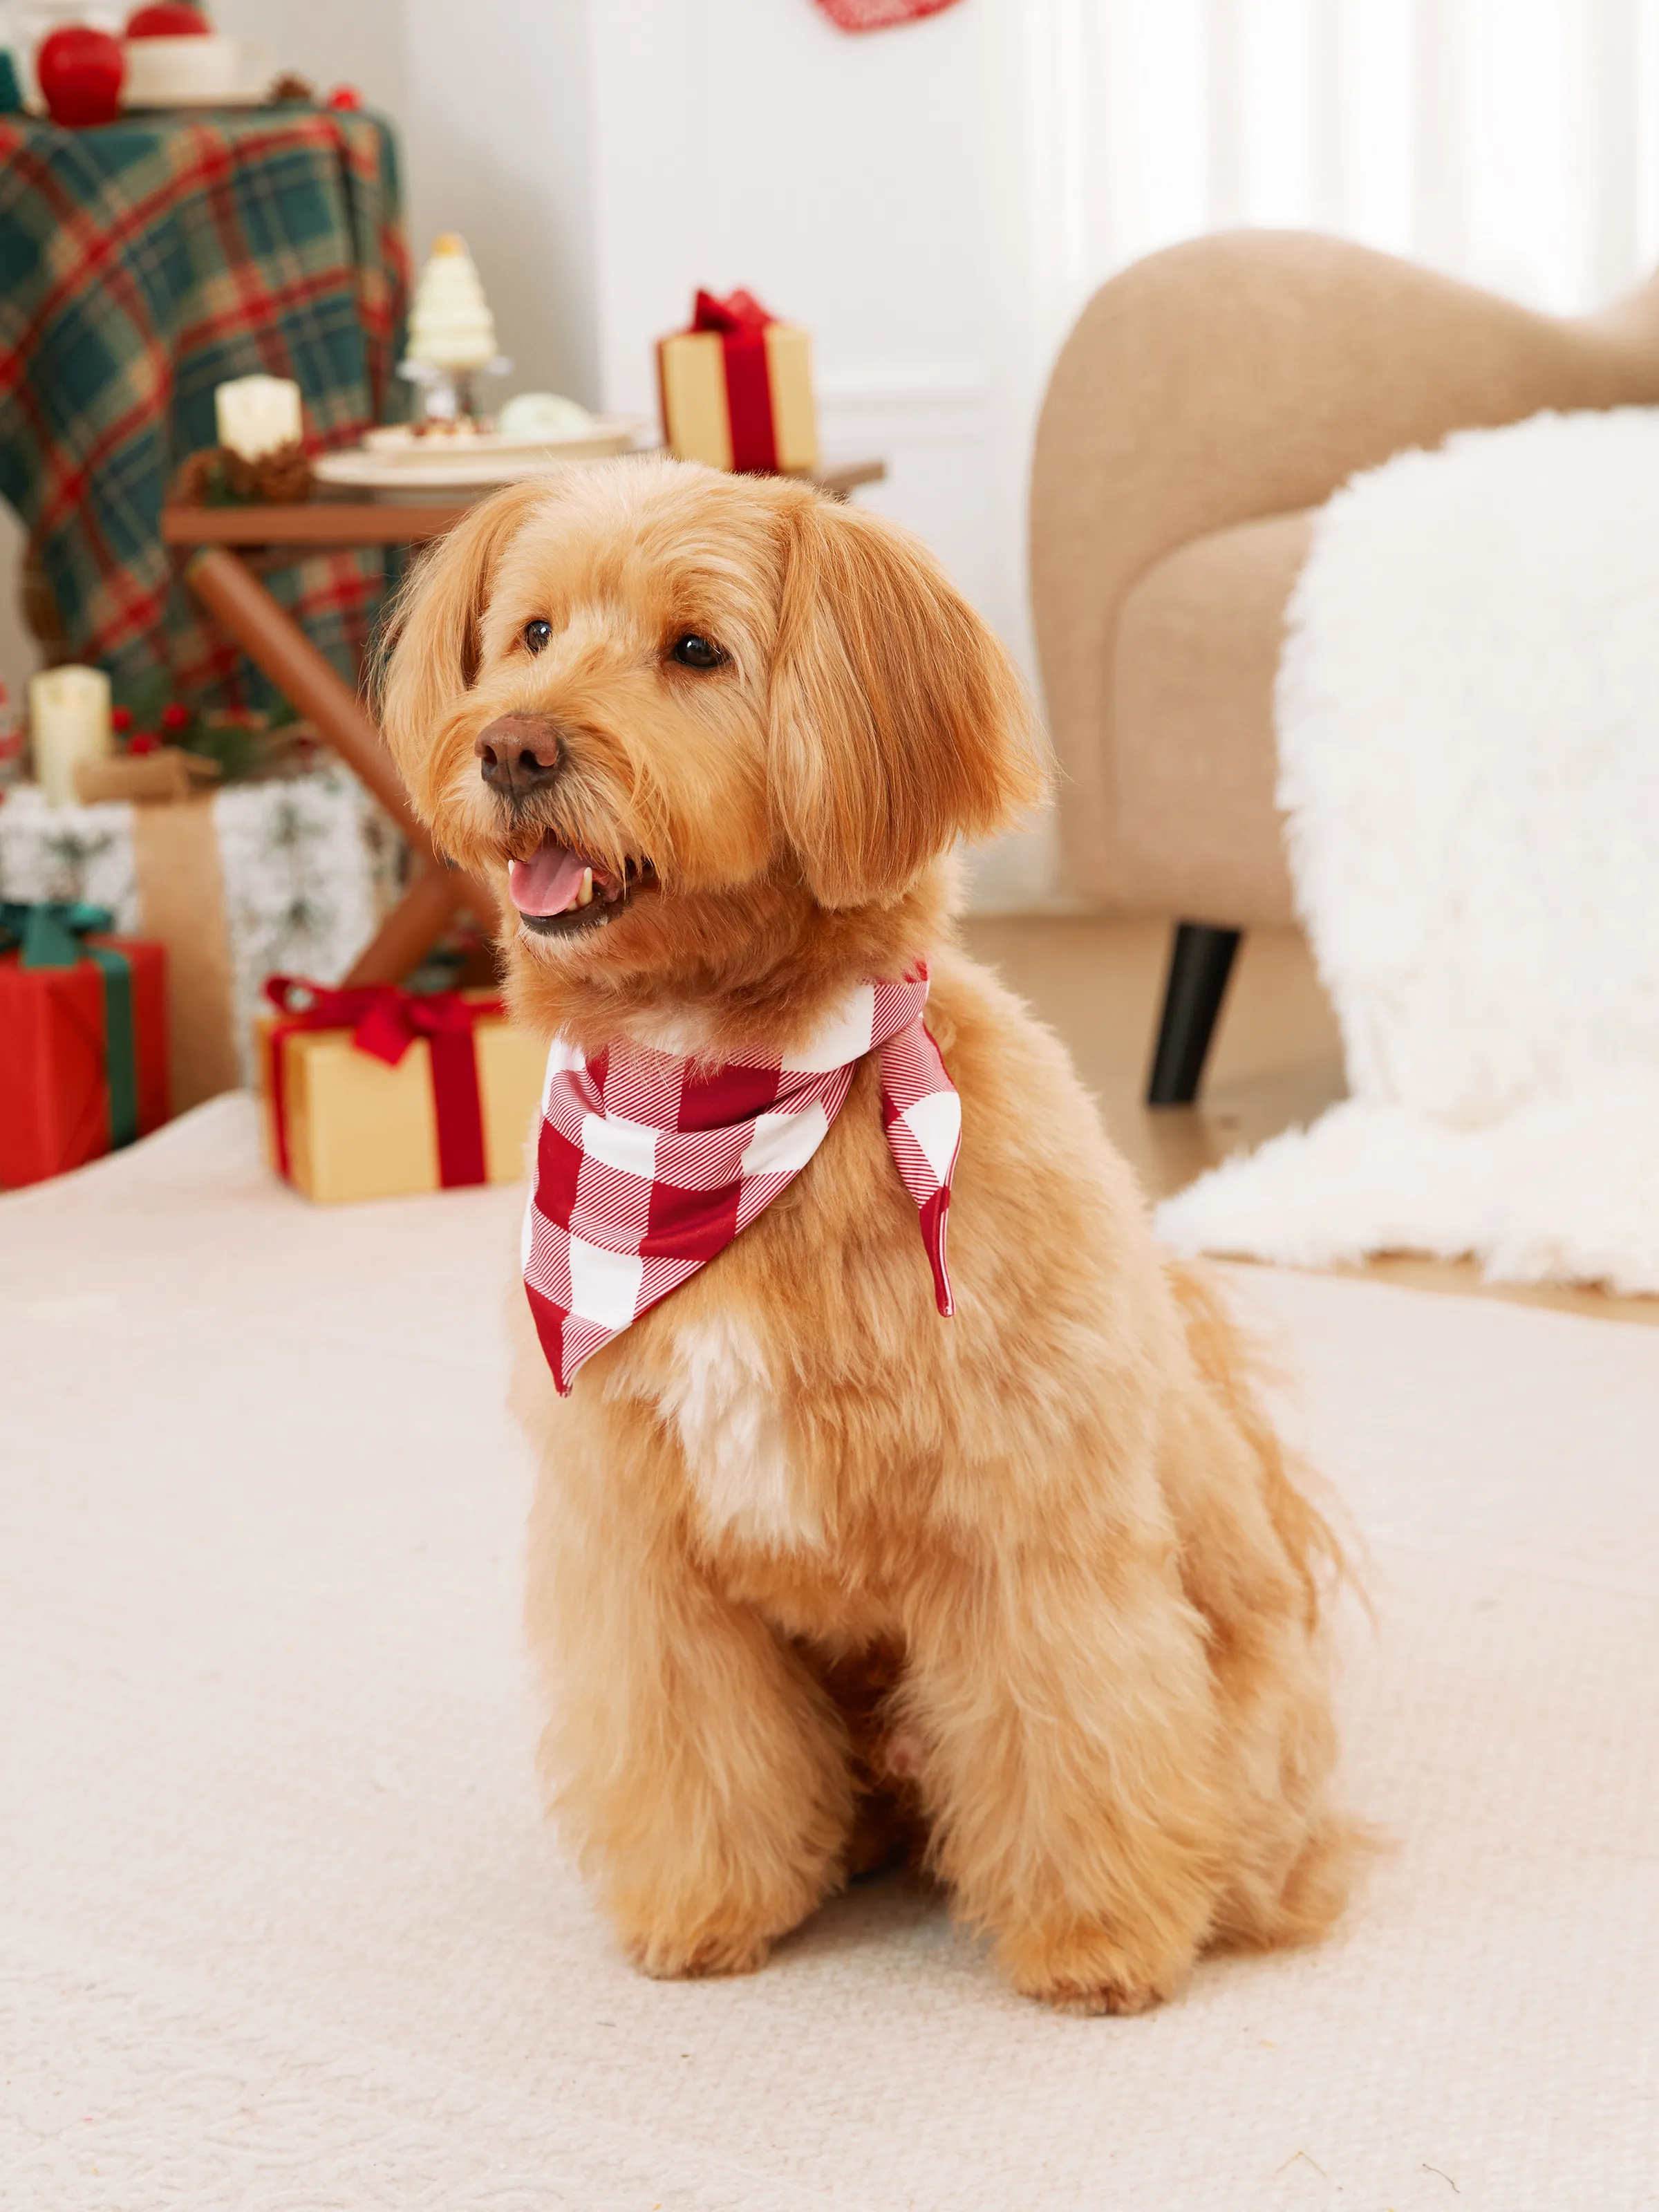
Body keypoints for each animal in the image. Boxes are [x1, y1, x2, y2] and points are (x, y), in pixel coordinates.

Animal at [382, 458, 1353, 2017]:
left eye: (696, 651)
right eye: (531, 634)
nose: (517, 748)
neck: (716, 1099)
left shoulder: (1028, 1523)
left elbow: (1076, 1728)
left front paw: (1099, 1941)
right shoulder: (641, 1550)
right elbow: (690, 1746)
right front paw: (704, 1912)